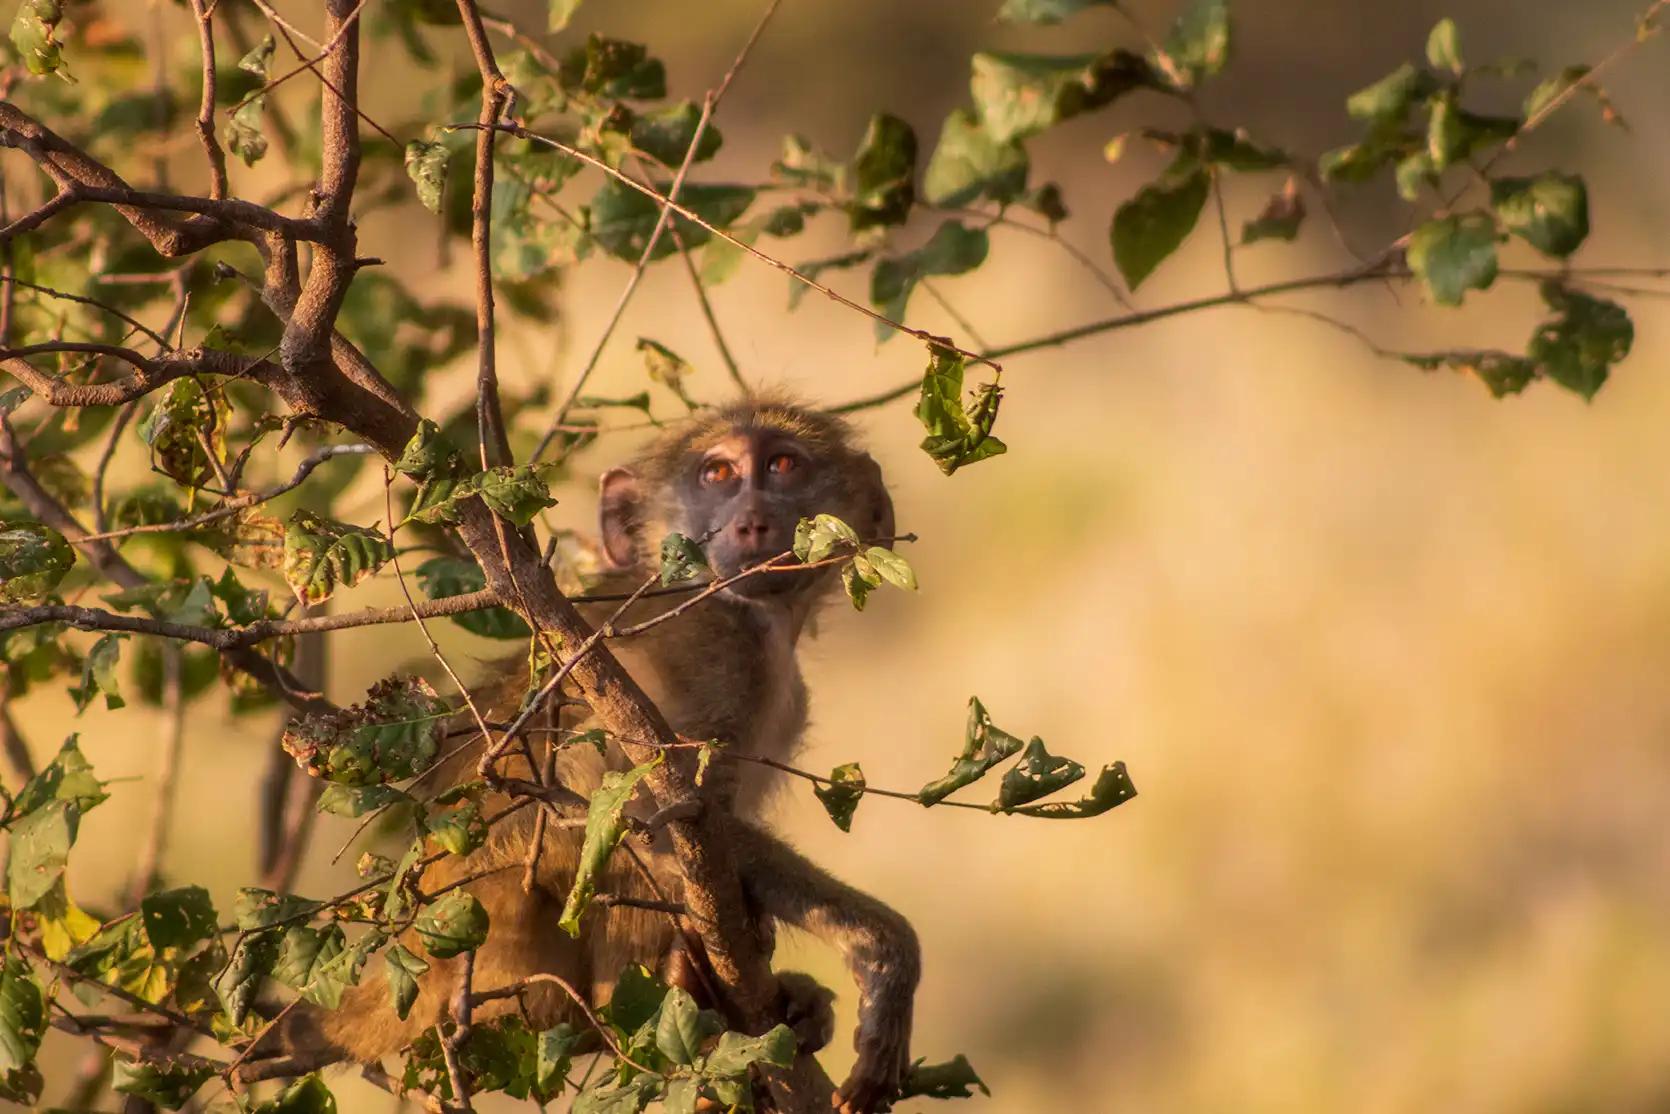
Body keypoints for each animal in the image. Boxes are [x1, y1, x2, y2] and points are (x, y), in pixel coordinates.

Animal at [250, 394, 921, 1114]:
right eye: (717, 474)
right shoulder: (715, 648)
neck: (754, 622)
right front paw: (883, 952)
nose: (751, 522)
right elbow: (640, 804)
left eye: (784, 465)